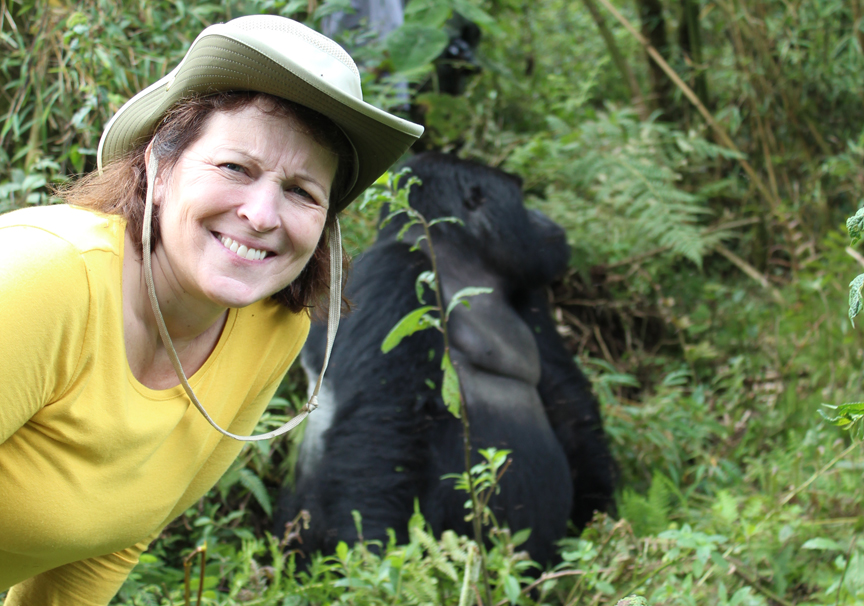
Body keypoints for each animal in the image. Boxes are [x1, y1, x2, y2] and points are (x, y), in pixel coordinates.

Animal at [276, 153, 616, 568]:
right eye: (520, 196)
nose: (546, 219)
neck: (451, 263)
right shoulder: (392, 270)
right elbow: (378, 426)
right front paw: (375, 553)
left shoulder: (528, 291)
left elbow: (568, 403)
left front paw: (599, 516)